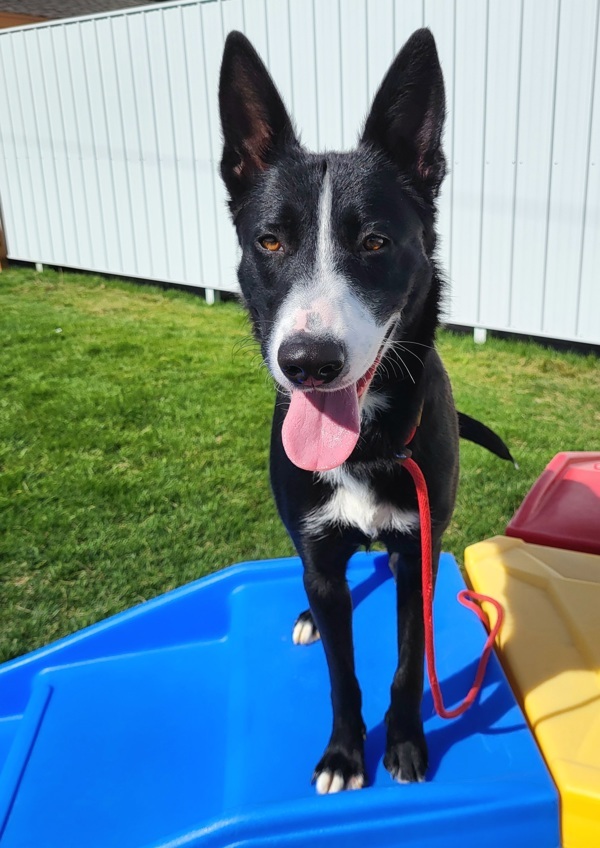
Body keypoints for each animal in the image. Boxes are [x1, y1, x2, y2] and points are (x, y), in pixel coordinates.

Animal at [218, 26, 512, 796]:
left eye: (376, 242)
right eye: (269, 241)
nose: (308, 362)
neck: (368, 445)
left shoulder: (416, 552)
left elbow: (409, 665)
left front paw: (404, 743)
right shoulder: (321, 560)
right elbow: (341, 674)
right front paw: (345, 755)